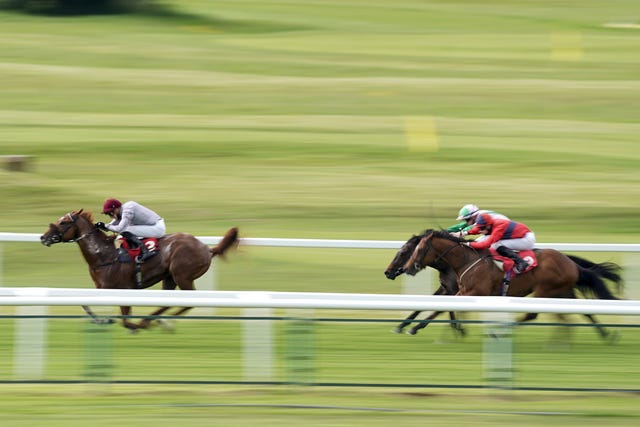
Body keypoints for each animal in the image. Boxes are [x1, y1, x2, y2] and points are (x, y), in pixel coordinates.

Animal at [40, 211, 240, 332]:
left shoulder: (123, 289)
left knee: (188, 301)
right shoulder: (103, 288)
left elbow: (125, 319)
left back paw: (165, 322)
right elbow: (85, 304)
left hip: (182, 275)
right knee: (169, 302)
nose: (43, 237)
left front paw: (124, 324)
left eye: (64, 222)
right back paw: (152, 320)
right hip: (169, 278)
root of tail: (207, 248)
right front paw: (103, 320)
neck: (104, 255)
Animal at [384, 231, 620, 342]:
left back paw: (502, 331)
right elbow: (441, 307)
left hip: (546, 290)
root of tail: (570, 262)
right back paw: (606, 334)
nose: (389, 272)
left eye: (408, 251)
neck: (463, 260)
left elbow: (441, 309)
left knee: (533, 315)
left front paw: (415, 327)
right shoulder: (456, 289)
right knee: (583, 311)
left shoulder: (471, 291)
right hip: (561, 291)